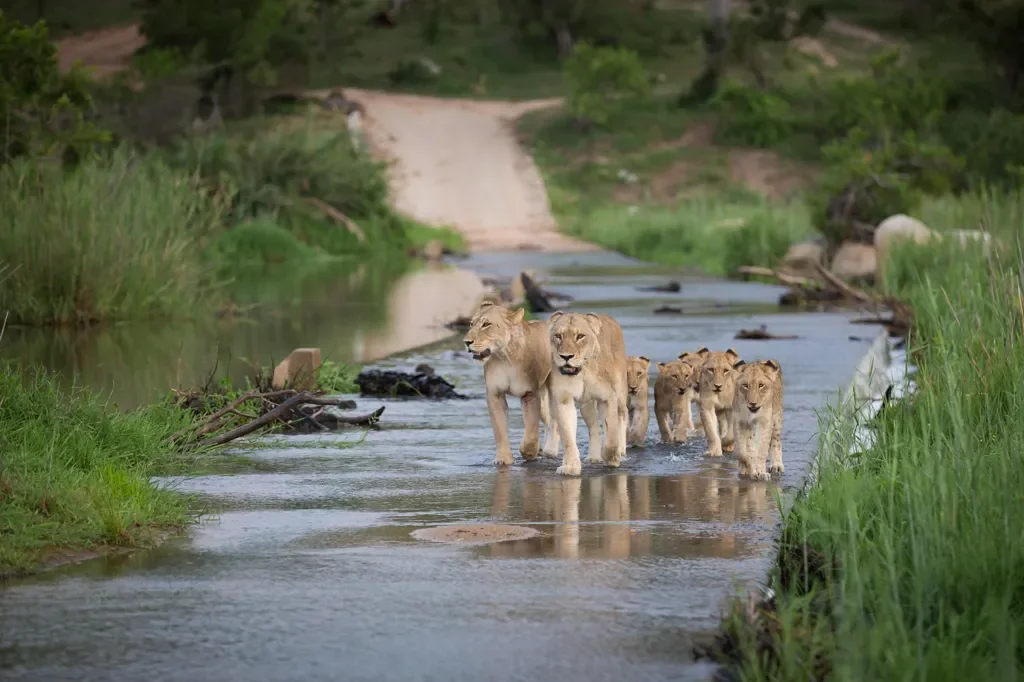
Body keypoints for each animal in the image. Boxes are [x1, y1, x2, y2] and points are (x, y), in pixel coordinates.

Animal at [463, 301, 559, 466]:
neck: (505, 357)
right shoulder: (495, 395)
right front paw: (503, 459)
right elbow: (500, 430)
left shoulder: (530, 394)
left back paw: (550, 450)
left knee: (554, 422)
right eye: (471, 324)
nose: (467, 342)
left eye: (486, 324)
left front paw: (529, 452)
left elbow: (531, 430)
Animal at [547, 311, 628, 476]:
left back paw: (621, 451)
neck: (581, 371)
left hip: (620, 393)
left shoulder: (608, 398)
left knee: (623, 416)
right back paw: (593, 457)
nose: (566, 357)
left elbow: (612, 436)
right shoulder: (564, 400)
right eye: (558, 336)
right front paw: (571, 466)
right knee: (595, 428)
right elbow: (568, 437)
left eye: (580, 336)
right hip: (586, 405)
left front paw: (612, 457)